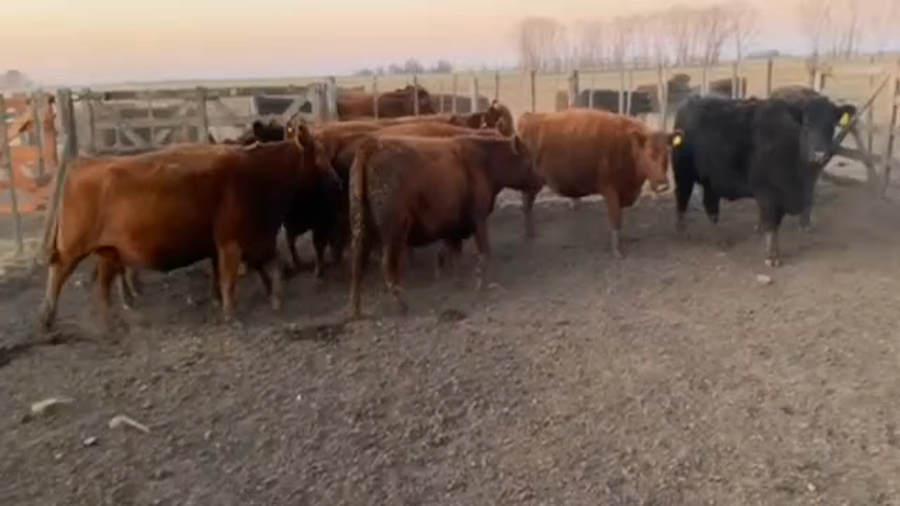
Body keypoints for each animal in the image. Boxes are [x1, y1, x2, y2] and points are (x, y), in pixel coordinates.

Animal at [39, 124, 341, 331]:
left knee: (103, 283)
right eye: (320, 155)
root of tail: (84, 162)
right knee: (58, 273)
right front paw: (231, 312)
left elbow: (269, 268)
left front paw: (272, 298)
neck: (256, 175)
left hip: (109, 250)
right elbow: (229, 278)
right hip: (73, 245)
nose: (337, 181)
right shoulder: (232, 243)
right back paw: (48, 318)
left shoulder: (252, 239)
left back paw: (112, 318)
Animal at [347, 133, 543, 318]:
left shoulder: (453, 229)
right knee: (387, 266)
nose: (540, 180)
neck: (483, 162)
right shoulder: (479, 220)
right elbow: (484, 252)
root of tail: (372, 145)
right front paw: (481, 284)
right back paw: (402, 305)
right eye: (528, 159)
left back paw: (356, 310)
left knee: (357, 267)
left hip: (361, 231)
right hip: (394, 233)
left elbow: (455, 255)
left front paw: (458, 283)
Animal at [516, 109, 675, 258]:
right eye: (649, 153)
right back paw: (530, 233)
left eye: (668, 153)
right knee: (527, 205)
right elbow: (615, 219)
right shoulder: (611, 191)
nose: (663, 185)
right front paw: (616, 251)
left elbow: (620, 219)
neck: (628, 146)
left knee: (527, 205)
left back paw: (530, 233)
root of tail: (529, 117)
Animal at [671, 94, 852, 266]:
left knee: (710, 206)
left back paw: (718, 235)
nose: (820, 155)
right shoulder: (768, 193)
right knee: (682, 200)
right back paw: (682, 232)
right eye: (807, 125)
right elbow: (771, 225)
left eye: (831, 126)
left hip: (711, 181)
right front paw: (771, 257)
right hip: (683, 175)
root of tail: (689, 102)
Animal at [769, 85, 857, 230]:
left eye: (832, 125)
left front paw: (805, 223)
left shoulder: (814, 171)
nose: (819, 154)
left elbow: (808, 195)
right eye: (807, 124)